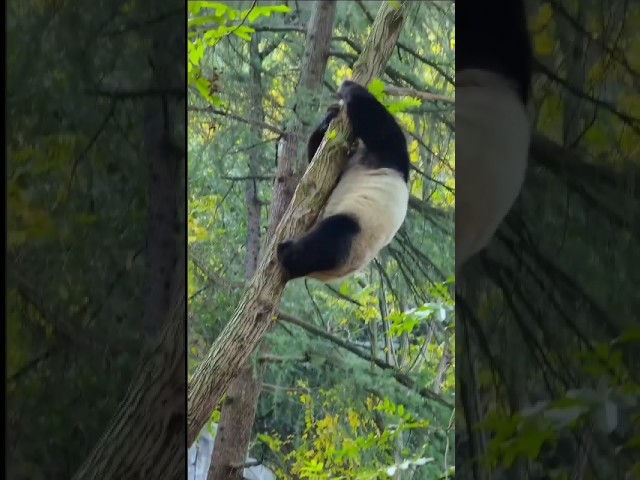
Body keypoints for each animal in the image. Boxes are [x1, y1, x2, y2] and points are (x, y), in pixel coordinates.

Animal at [277, 80, 410, 282]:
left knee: (329, 240)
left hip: (357, 232)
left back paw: (287, 252)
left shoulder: (388, 156)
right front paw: (327, 119)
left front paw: (348, 86)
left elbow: (378, 124)